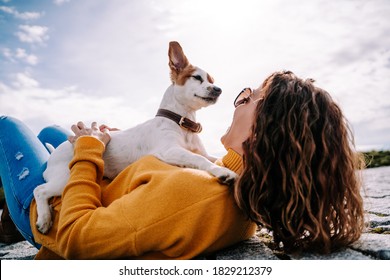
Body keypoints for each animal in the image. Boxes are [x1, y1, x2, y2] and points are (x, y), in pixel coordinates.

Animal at [35, 40, 238, 233]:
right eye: (197, 77)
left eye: (212, 80)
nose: (218, 89)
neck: (183, 124)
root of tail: (54, 153)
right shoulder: (169, 151)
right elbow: (199, 159)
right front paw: (222, 172)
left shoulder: (201, 152)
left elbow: (211, 157)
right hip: (64, 179)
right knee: (39, 190)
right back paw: (44, 219)